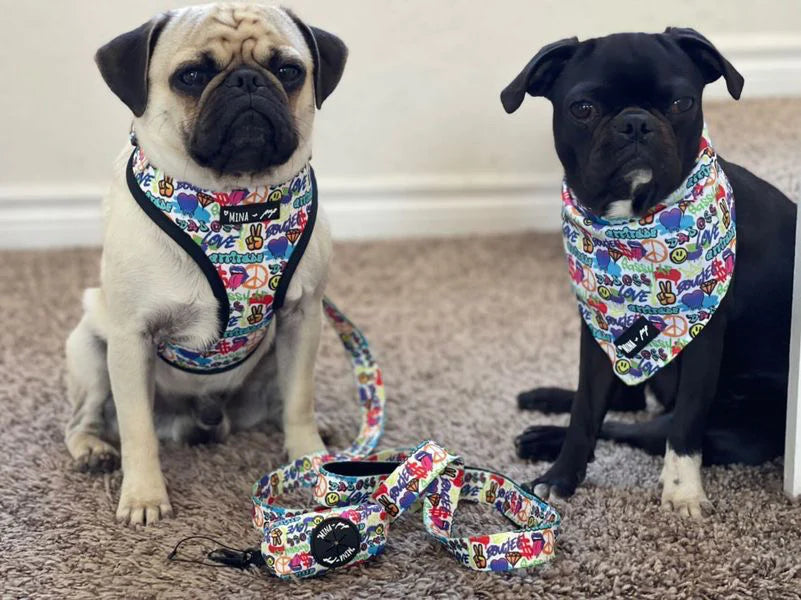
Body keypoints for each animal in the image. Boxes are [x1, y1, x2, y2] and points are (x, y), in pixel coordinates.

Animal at [500, 27, 792, 516]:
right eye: (583, 109)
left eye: (681, 103)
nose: (635, 123)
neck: (634, 223)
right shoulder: (599, 328)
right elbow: (586, 412)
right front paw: (560, 478)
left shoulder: (700, 342)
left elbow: (683, 429)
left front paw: (683, 492)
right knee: (626, 401)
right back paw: (545, 402)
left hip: (740, 428)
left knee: (645, 426)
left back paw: (542, 434)